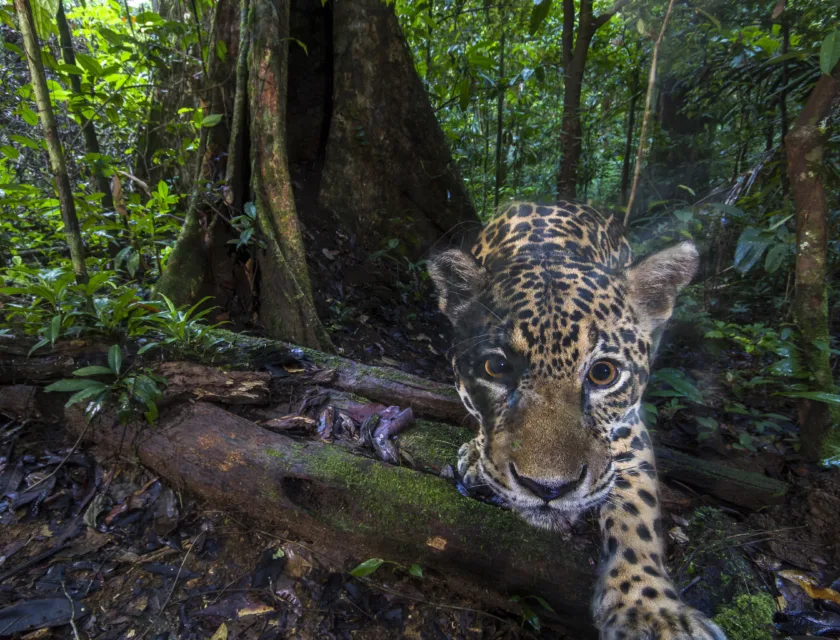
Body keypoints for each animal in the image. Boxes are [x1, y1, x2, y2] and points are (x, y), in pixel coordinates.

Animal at [429, 200, 726, 640]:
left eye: (604, 373)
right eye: (496, 367)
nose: (549, 489)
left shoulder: (628, 430)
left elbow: (638, 512)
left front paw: (653, 612)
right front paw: (476, 456)